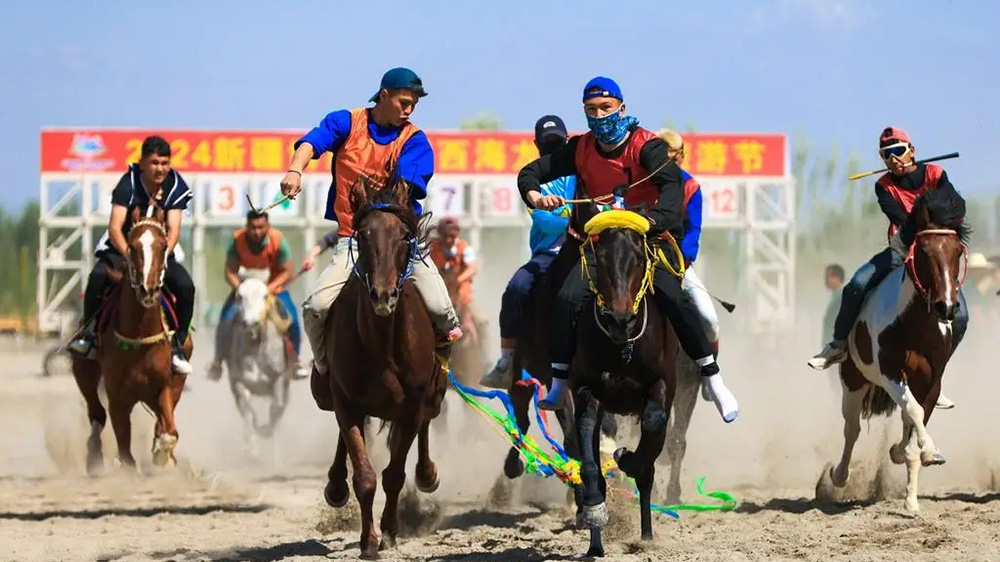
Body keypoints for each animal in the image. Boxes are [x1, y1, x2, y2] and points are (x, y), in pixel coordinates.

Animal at [71, 206, 193, 473]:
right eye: (132, 246)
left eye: (163, 245)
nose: (148, 289)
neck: (140, 338)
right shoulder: (118, 399)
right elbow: (125, 449)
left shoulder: (163, 388)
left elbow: (168, 431)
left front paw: (163, 455)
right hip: (84, 372)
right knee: (97, 414)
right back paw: (93, 456)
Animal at [221, 270, 295, 457]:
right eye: (240, 295)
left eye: (265, 295)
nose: (251, 323)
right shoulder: (238, 383)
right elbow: (248, 414)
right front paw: (253, 448)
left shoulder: (279, 379)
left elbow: (276, 408)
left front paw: (265, 431)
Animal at [311, 177, 446, 560]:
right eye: (362, 235)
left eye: (403, 235)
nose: (383, 296)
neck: (383, 344)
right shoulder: (347, 401)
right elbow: (365, 475)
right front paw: (368, 540)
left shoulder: (411, 406)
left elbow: (394, 475)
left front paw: (388, 531)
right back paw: (336, 485)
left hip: (434, 392)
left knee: (428, 422)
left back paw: (427, 473)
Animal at [568, 205, 680, 557]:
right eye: (599, 258)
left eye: (639, 258)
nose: (620, 320)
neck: (621, 348)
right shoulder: (587, 390)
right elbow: (588, 448)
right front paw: (593, 510)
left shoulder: (662, 386)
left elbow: (654, 425)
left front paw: (627, 458)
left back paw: (645, 533)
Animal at [830, 188, 969, 513]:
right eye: (924, 252)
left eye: (957, 251)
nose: (947, 307)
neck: (913, 324)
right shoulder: (891, 372)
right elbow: (914, 412)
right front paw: (926, 450)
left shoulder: (931, 381)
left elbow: (915, 419)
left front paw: (912, 498)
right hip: (852, 382)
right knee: (852, 429)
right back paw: (839, 475)